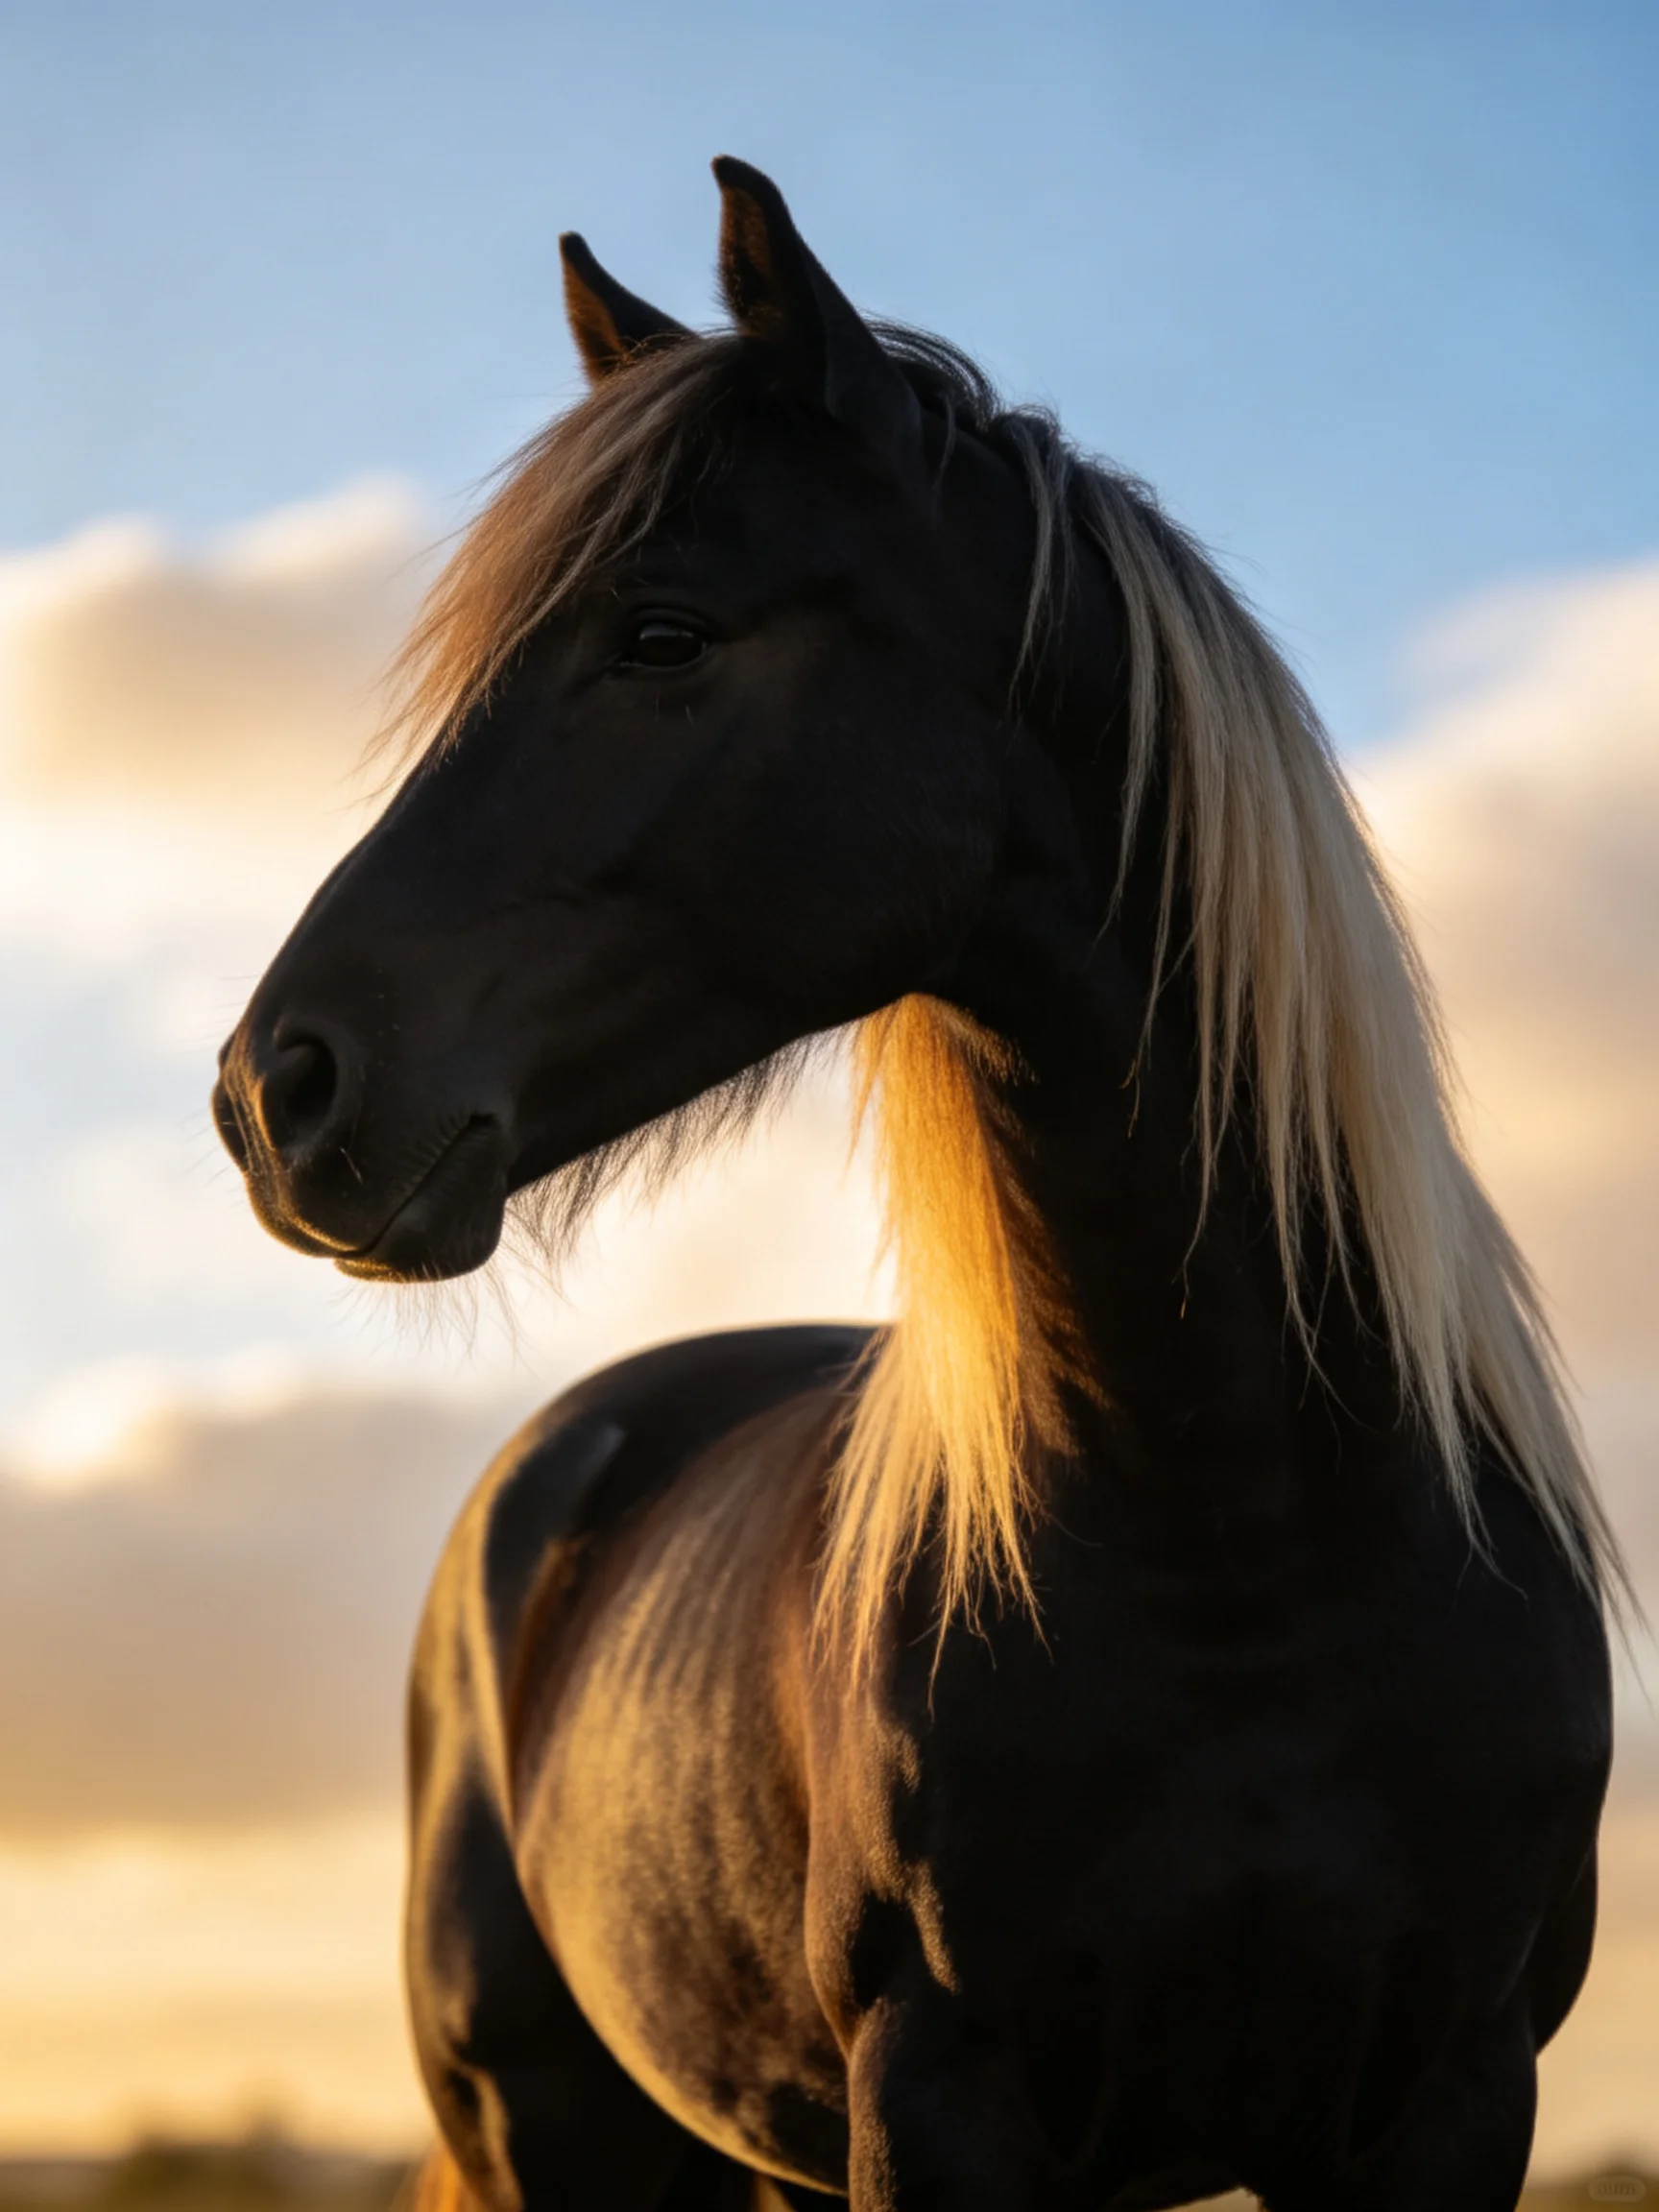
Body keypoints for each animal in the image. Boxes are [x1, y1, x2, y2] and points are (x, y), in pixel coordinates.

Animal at [212, 159, 1621, 2211]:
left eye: (662, 634)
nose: (276, 1089)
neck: (1250, 1538)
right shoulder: (940, 2095)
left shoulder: (1447, 2098)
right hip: (543, 2128)